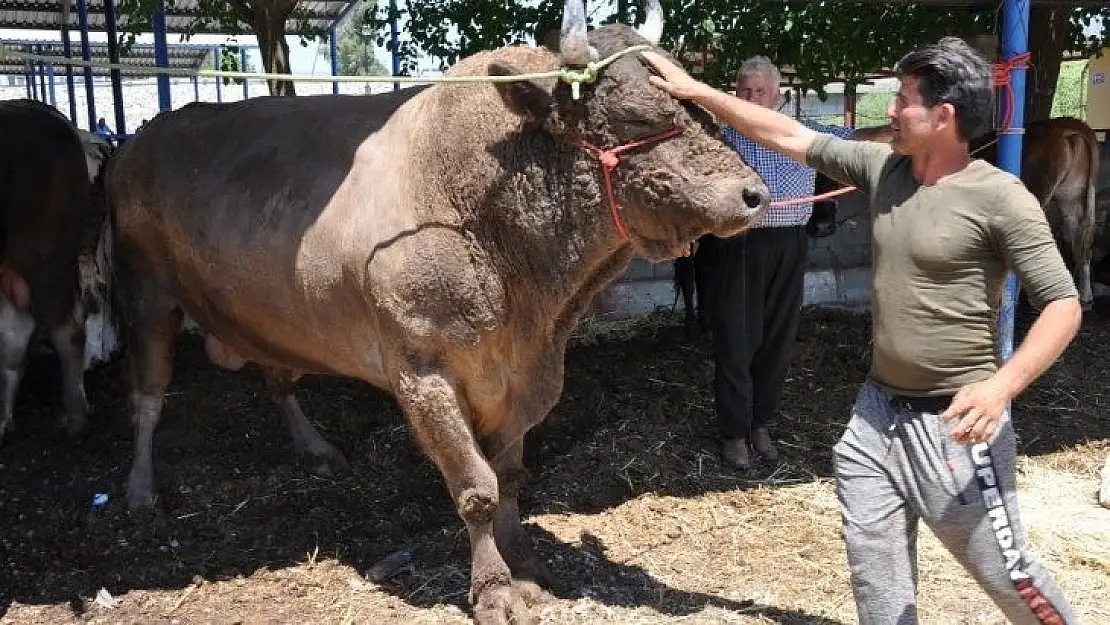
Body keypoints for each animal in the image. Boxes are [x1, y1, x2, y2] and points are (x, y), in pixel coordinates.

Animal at [99, 0, 768, 621]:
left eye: (696, 102)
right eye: (635, 114)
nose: (753, 193)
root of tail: (142, 141)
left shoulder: (532, 375)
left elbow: (509, 478)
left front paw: (527, 566)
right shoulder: (423, 374)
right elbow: (476, 487)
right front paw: (495, 591)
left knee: (278, 379)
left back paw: (315, 450)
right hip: (146, 291)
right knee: (147, 394)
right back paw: (140, 490)